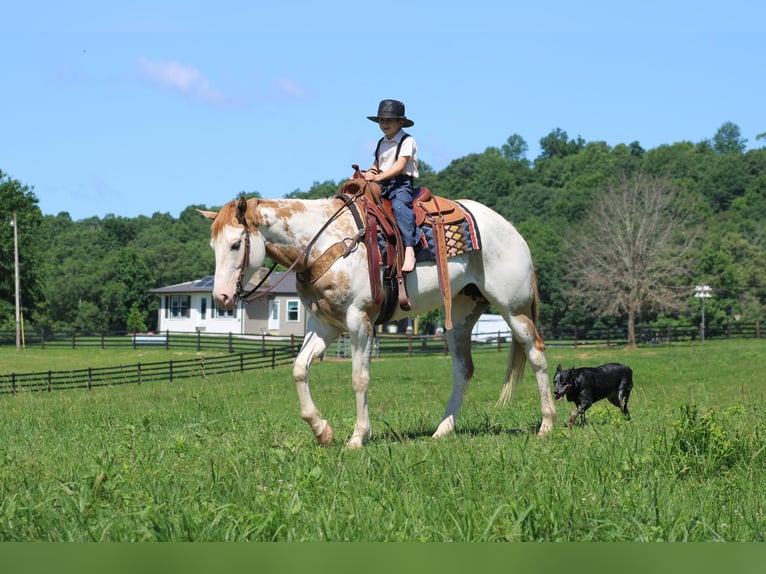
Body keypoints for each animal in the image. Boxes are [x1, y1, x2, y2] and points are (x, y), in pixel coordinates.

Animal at [200, 194, 556, 448]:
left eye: (235, 244)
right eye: (213, 246)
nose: (222, 298)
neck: (324, 242)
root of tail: (514, 232)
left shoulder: (360, 321)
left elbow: (360, 378)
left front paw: (358, 436)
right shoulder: (325, 325)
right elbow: (300, 369)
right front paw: (322, 430)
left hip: (513, 309)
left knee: (536, 354)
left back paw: (546, 424)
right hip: (461, 315)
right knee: (463, 369)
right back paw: (443, 430)